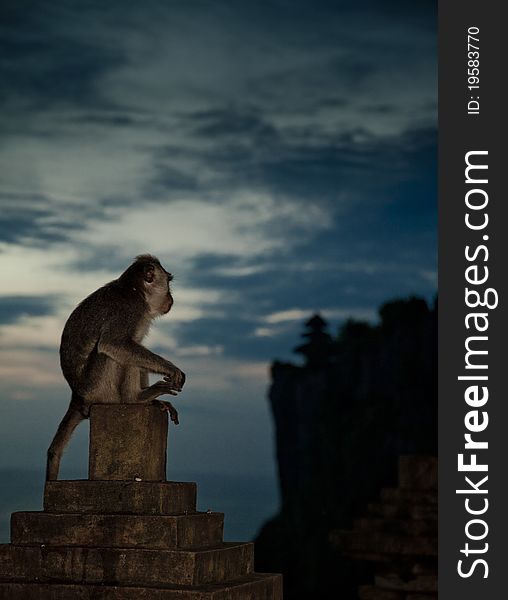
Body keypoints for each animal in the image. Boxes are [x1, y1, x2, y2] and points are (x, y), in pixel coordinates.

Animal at [46, 255, 186, 480]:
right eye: (169, 282)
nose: (171, 298)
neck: (135, 291)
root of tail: (78, 397)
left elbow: (133, 346)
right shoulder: (128, 311)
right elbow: (113, 344)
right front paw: (170, 370)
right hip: (99, 389)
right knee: (109, 353)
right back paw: (134, 399)